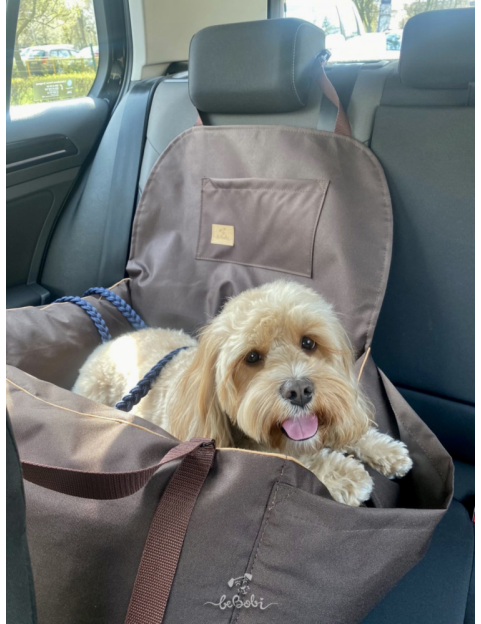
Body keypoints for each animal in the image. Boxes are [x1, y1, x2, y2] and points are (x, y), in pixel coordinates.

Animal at [73, 280, 412, 506]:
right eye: (251, 357)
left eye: (308, 342)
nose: (299, 390)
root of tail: (108, 344)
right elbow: (296, 458)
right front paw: (345, 474)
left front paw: (383, 449)